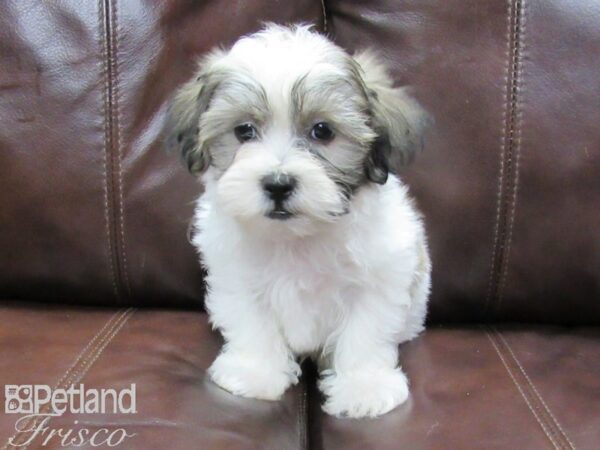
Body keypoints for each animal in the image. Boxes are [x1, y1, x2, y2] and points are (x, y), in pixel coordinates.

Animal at [165, 24, 432, 418]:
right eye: (244, 131)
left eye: (322, 131)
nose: (278, 184)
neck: (295, 237)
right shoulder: (238, 278)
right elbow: (253, 323)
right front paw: (255, 373)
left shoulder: (380, 279)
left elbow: (365, 332)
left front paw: (363, 386)